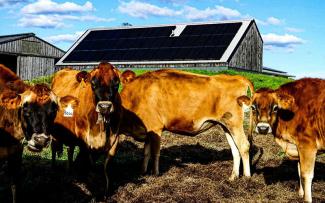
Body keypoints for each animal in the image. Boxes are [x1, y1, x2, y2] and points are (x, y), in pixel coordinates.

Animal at [50, 61, 121, 195]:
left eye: (116, 83)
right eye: (93, 83)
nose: (105, 107)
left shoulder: (115, 138)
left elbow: (107, 166)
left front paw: (107, 191)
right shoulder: (83, 140)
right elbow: (89, 164)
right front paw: (94, 190)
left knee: (70, 149)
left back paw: (69, 169)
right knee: (54, 148)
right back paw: (54, 168)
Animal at [117, 69, 252, 180]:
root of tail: (238, 77)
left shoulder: (156, 128)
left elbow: (155, 153)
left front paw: (155, 174)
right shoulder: (148, 131)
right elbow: (146, 152)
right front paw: (143, 171)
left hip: (234, 123)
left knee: (244, 146)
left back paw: (247, 178)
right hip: (226, 125)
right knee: (235, 150)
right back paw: (233, 177)